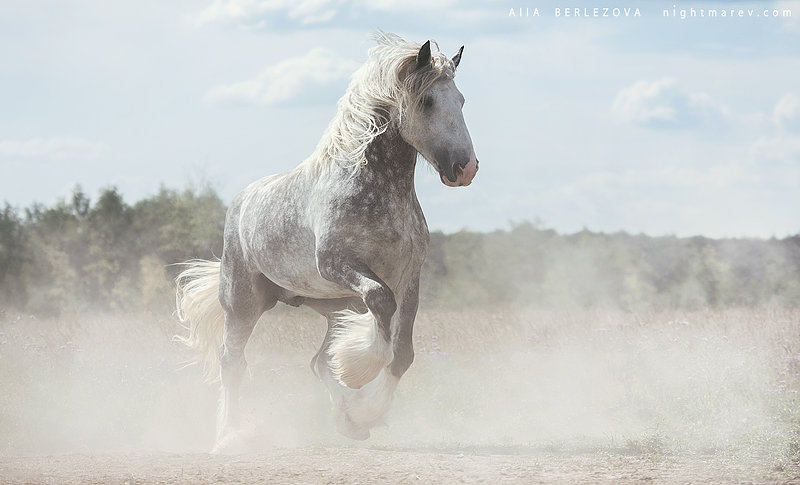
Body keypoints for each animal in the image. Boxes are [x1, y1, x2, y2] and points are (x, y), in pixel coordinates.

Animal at [175, 31, 478, 450]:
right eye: (428, 100)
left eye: (461, 100)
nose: (466, 169)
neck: (377, 190)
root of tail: (241, 201)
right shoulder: (339, 265)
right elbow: (380, 308)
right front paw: (359, 375)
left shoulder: (408, 279)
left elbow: (401, 354)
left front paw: (364, 411)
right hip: (243, 304)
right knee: (231, 362)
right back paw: (228, 436)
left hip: (334, 305)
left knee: (318, 362)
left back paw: (347, 422)